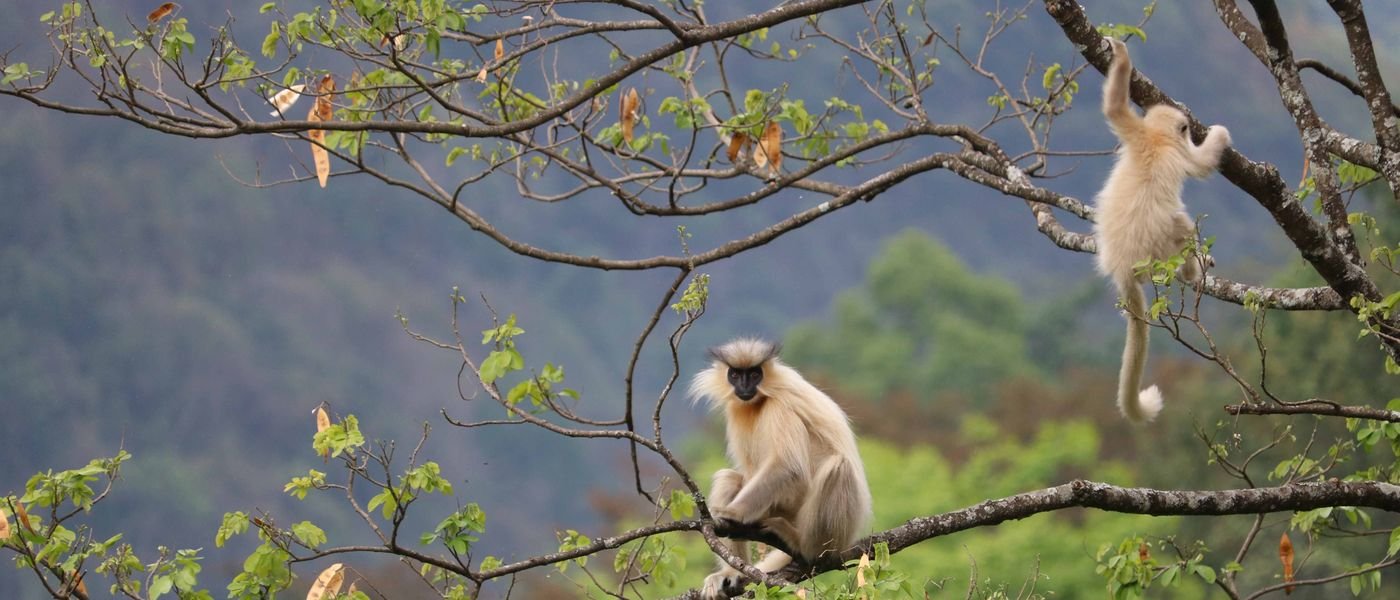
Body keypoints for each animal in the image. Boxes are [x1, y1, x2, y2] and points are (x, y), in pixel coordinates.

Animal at [689, 338, 872, 599]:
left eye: (755, 374)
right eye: (735, 374)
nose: (744, 385)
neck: (759, 401)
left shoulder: (780, 406)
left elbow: (788, 467)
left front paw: (733, 513)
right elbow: (744, 474)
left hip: (831, 528)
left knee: (838, 466)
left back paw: (803, 545)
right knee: (729, 477)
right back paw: (732, 573)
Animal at [1094, 38, 1231, 423]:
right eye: (1184, 128)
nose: (1188, 126)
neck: (1155, 137)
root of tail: (1125, 271)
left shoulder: (1134, 131)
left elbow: (1114, 108)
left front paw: (1119, 54)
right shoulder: (1180, 152)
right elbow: (1202, 164)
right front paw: (1219, 134)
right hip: (1160, 253)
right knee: (1181, 223)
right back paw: (1191, 271)